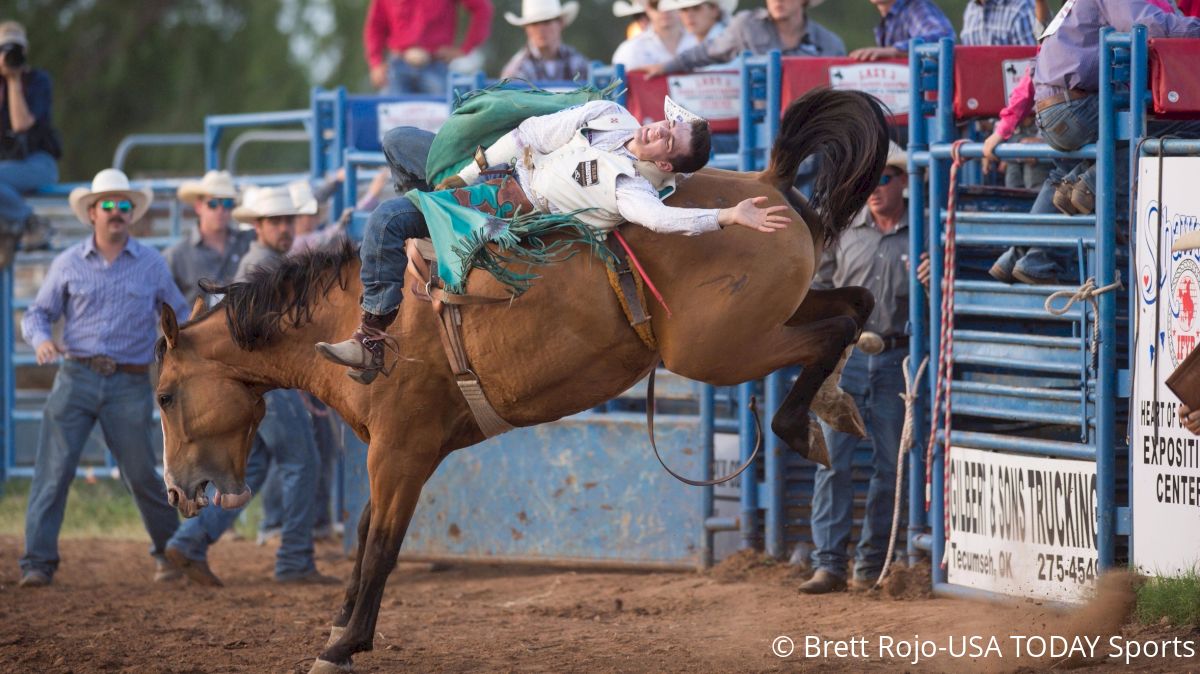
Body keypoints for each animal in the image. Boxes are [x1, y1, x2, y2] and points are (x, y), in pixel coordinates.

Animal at [152, 88, 892, 666]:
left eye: (162, 395)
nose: (179, 490)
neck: (352, 315)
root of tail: (766, 183)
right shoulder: (393, 452)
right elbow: (364, 538)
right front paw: (340, 629)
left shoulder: (401, 449)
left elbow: (383, 545)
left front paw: (341, 647)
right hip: (768, 318)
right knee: (852, 306)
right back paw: (835, 404)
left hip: (724, 349)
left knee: (829, 330)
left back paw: (800, 423)